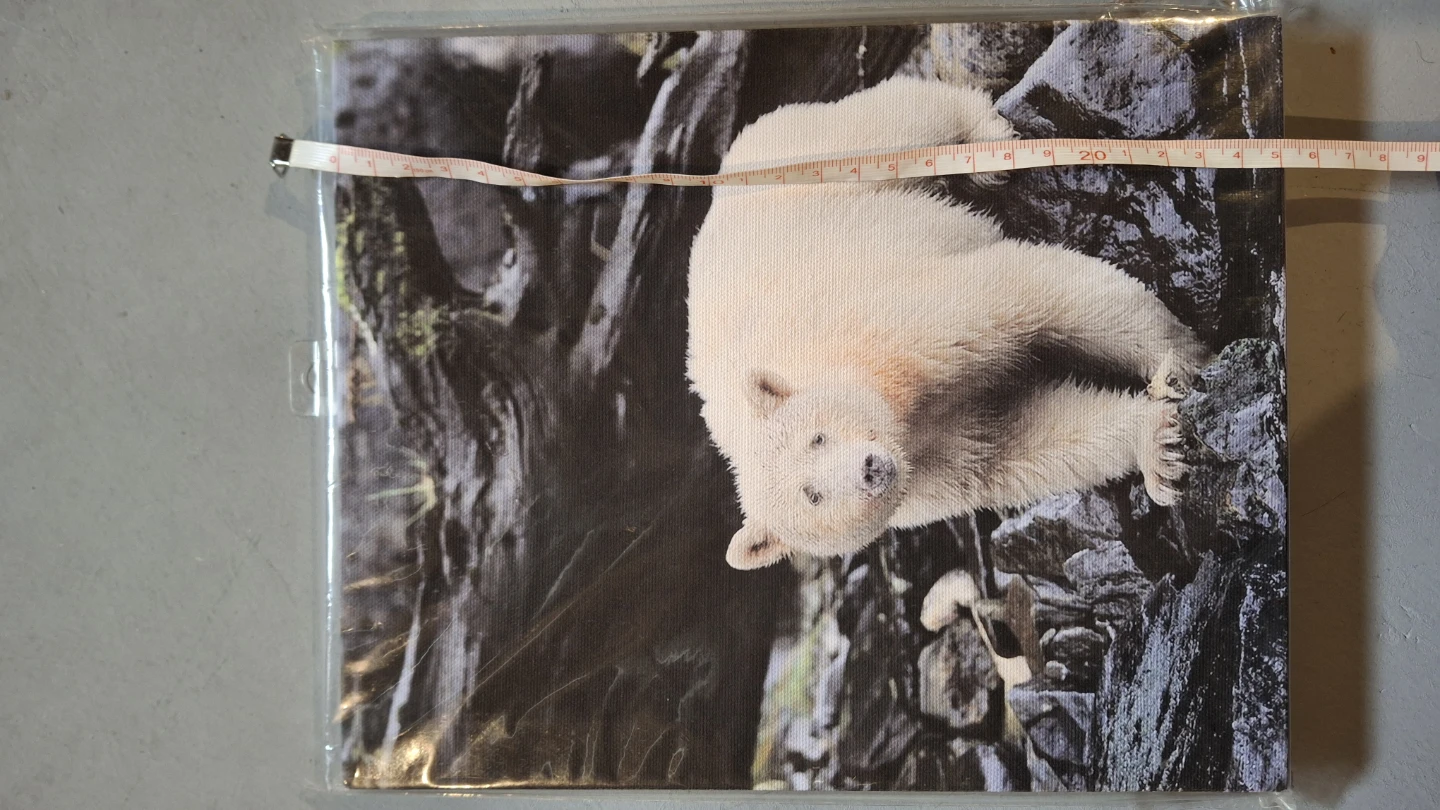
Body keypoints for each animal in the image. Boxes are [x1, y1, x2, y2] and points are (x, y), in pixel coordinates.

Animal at [684, 75, 1212, 571]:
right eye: (812, 495)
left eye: (818, 437)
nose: (870, 470)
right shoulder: (926, 475)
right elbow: (1017, 441)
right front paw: (1157, 449)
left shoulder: (890, 329)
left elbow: (1020, 294)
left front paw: (1179, 360)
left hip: (814, 162)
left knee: (895, 125)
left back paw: (985, 139)